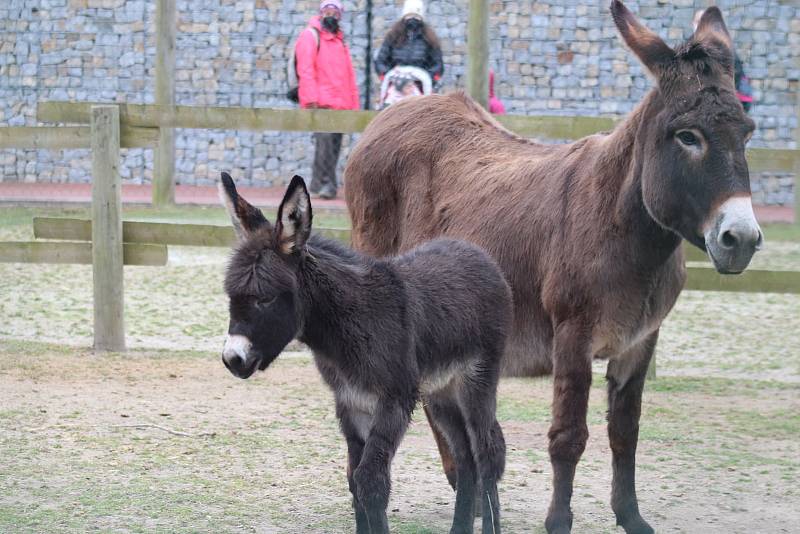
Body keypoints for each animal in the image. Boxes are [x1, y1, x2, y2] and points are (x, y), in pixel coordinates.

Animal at [216, 174, 510, 532]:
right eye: (231, 297)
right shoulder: (350, 402)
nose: (233, 360)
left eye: (265, 299)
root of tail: (477, 252)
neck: (350, 323)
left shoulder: (394, 400)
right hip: (441, 391)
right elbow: (353, 480)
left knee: (488, 451)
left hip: (477, 380)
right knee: (465, 456)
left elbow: (370, 482)